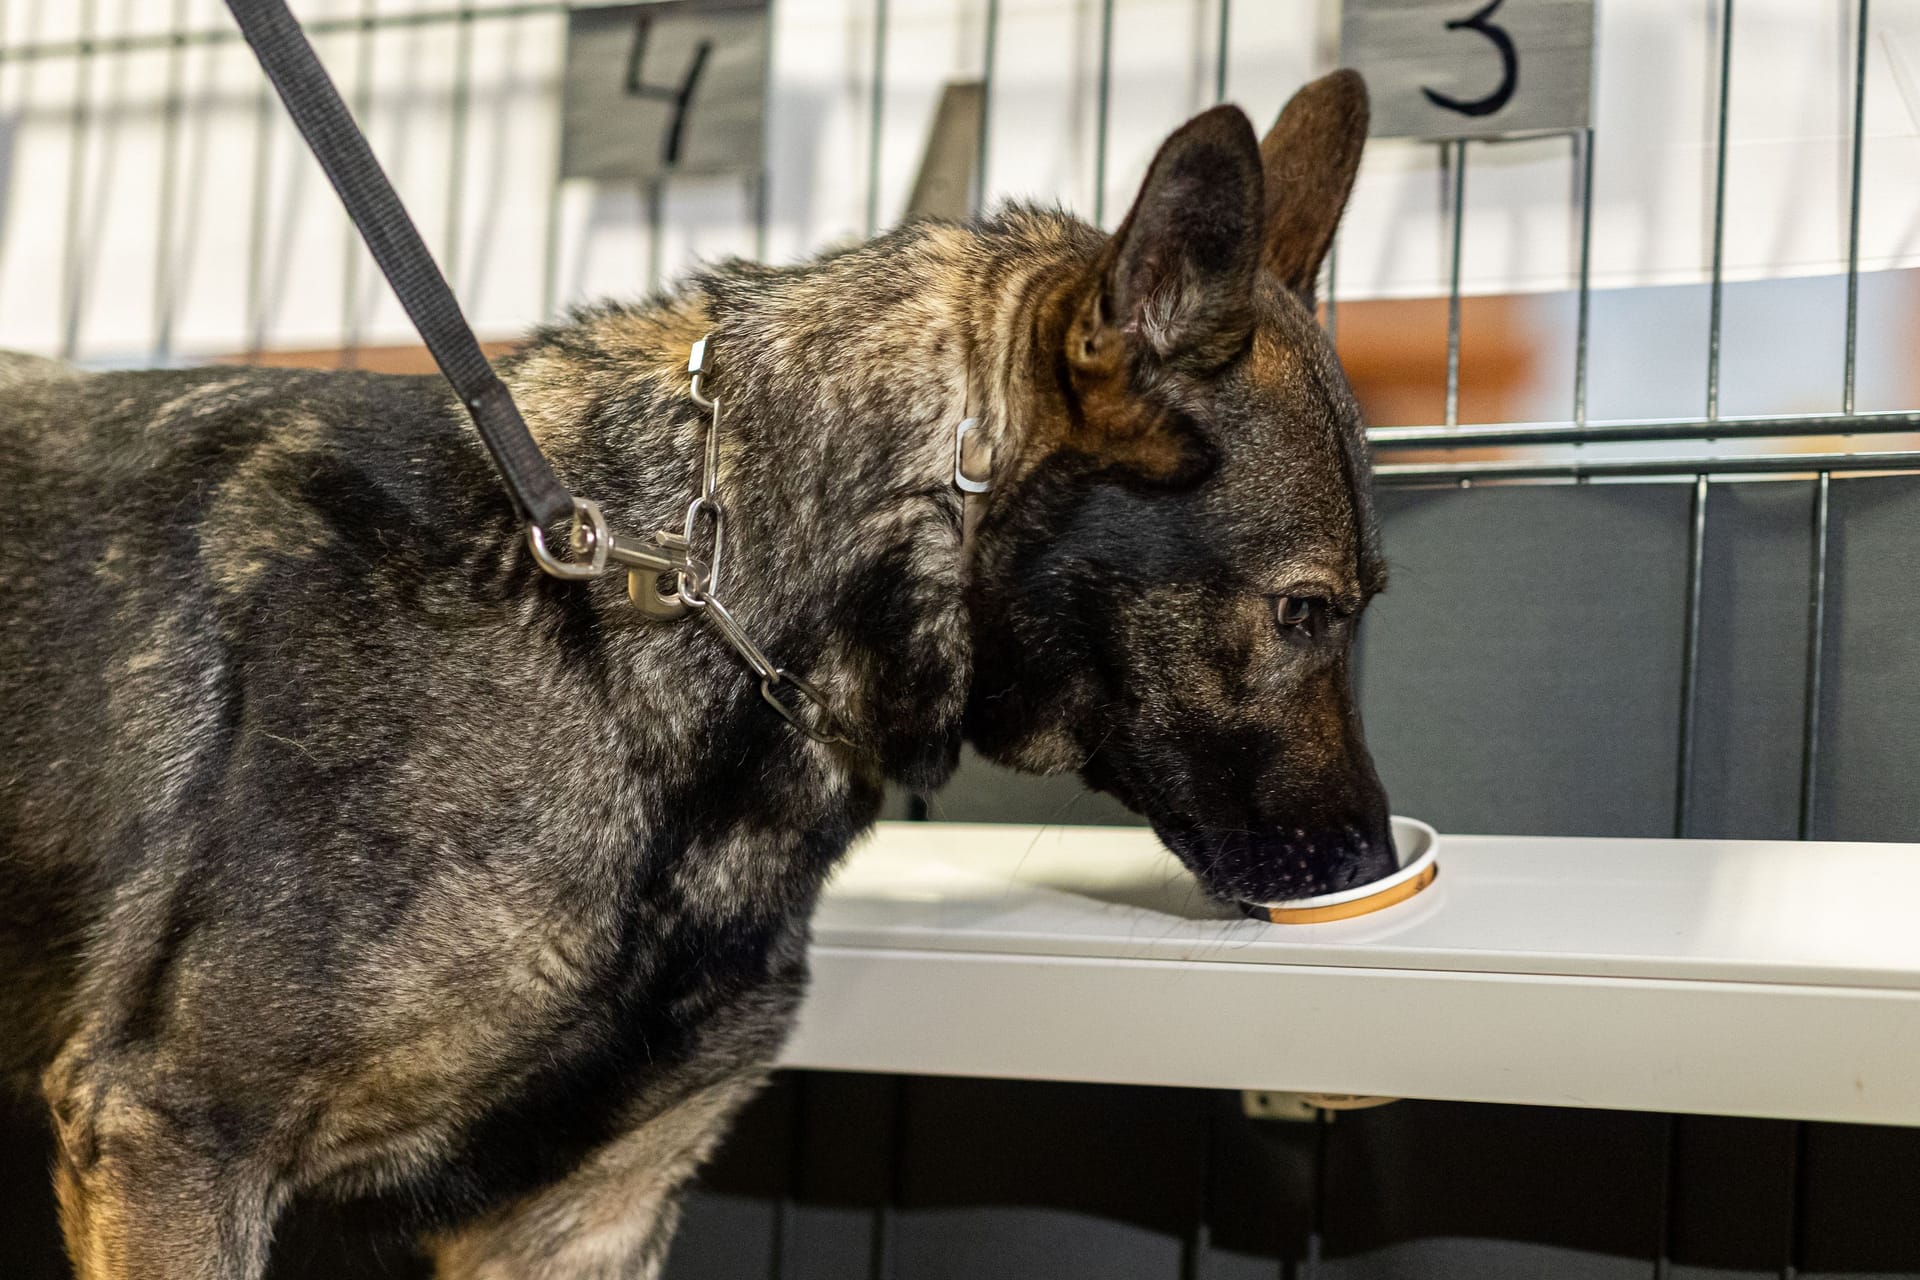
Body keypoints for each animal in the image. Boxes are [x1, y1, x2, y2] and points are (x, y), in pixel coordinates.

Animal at [0, 72, 1390, 1280]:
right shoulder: (176, 1140)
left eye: (1361, 606)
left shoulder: (575, 1224)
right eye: (1304, 610)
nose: (1375, 861)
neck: (693, 612)